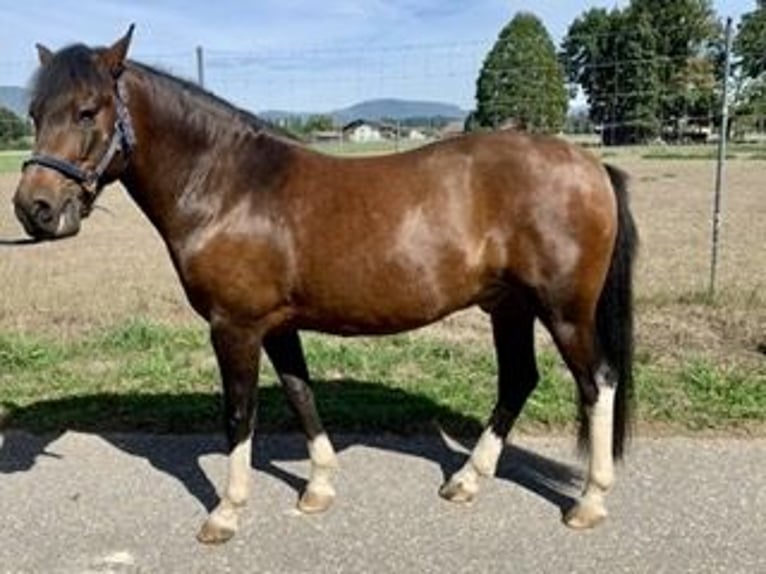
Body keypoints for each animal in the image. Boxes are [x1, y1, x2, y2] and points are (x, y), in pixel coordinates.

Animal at [13, 26, 637, 544]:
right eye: (36, 112)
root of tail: (589, 165)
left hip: (563, 310)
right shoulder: (275, 326)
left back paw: (590, 501)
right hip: (508, 306)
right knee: (518, 380)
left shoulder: (234, 327)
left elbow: (239, 415)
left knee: (597, 382)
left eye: (88, 111)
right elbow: (299, 394)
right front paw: (318, 487)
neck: (228, 187)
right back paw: (467, 480)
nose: (34, 208)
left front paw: (226, 513)